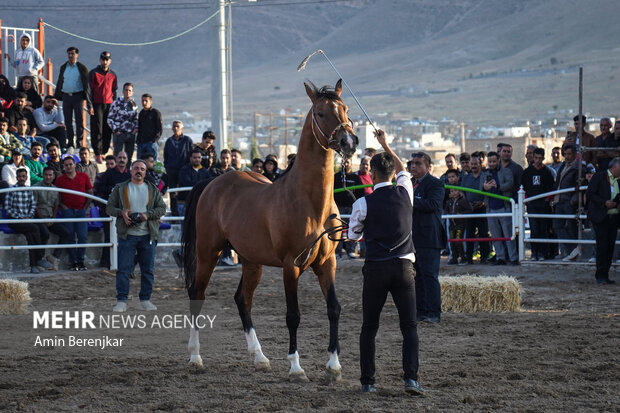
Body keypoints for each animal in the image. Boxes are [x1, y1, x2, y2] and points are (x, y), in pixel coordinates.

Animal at [182, 79, 358, 380]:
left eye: (345, 109)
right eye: (320, 113)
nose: (348, 142)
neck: (310, 202)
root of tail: (212, 183)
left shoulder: (327, 262)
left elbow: (334, 308)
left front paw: (334, 365)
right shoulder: (291, 265)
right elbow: (293, 315)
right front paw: (296, 367)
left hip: (251, 261)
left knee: (242, 299)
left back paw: (259, 357)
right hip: (208, 253)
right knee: (197, 294)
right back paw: (195, 357)